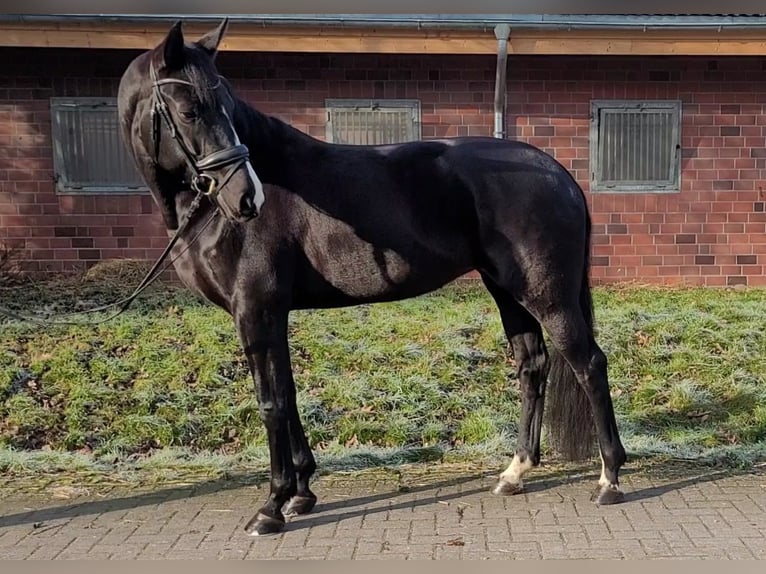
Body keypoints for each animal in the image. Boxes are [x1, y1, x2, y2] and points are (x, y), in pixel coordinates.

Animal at [117, 20, 628, 536]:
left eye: (224, 104)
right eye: (189, 110)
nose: (247, 197)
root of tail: (559, 173)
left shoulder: (256, 312)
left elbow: (270, 403)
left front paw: (272, 506)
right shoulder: (272, 315)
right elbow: (289, 394)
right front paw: (301, 493)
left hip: (547, 296)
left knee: (589, 364)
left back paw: (609, 478)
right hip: (508, 292)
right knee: (532, 366)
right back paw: (515, 472)